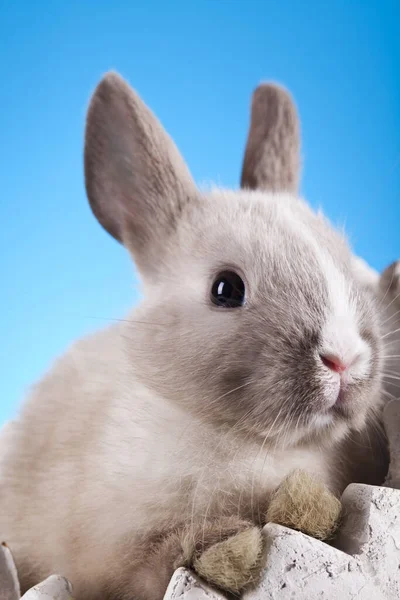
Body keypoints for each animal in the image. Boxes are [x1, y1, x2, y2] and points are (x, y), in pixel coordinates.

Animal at [0, 74, 390, 600]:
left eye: (347, 264)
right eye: (226, 288)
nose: (344, 359)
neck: (252, 443)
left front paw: (306, 510)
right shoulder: (113, 557)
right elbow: (155, 559)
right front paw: (229, 548)